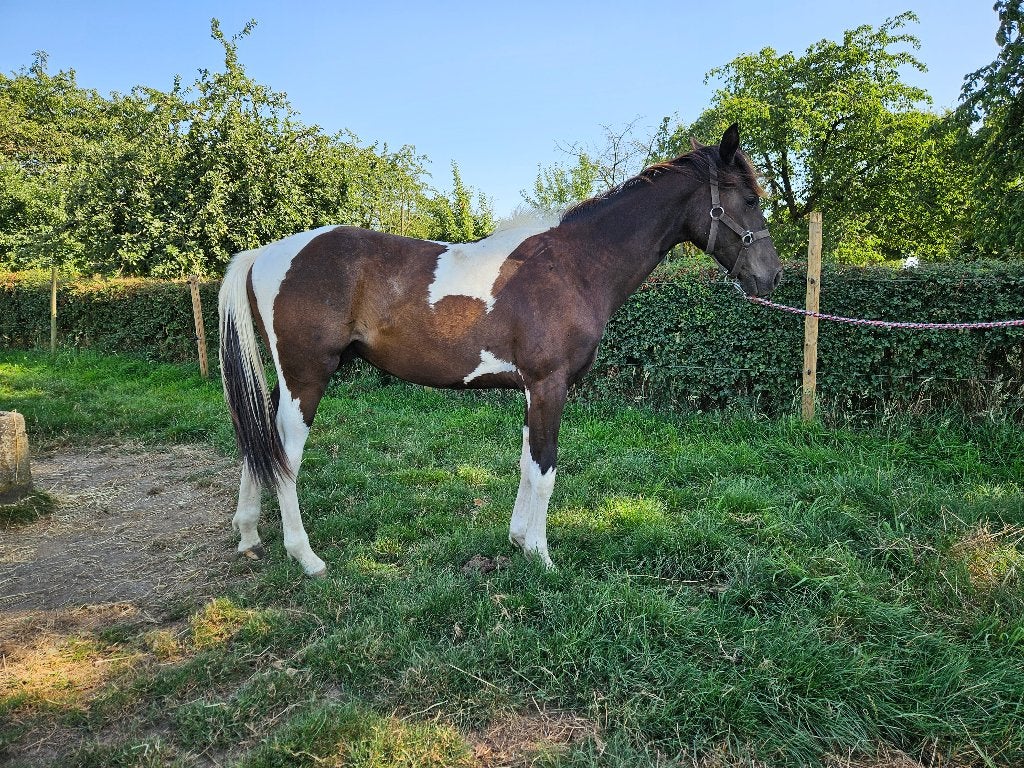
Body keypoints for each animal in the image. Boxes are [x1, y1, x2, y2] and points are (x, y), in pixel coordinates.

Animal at [218, 123, 783, 577]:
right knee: (285, 455)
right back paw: (305, 556)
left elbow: (526, 463)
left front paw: (518, 541)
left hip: (287, 381)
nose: (772, 277)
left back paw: (249, 535)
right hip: (306, 379)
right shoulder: (550, 385)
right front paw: (542, 556)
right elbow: (545, 469)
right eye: (751, 199)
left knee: (259, 442)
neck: (574, 264)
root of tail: (265, 254)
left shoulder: (532, 390)